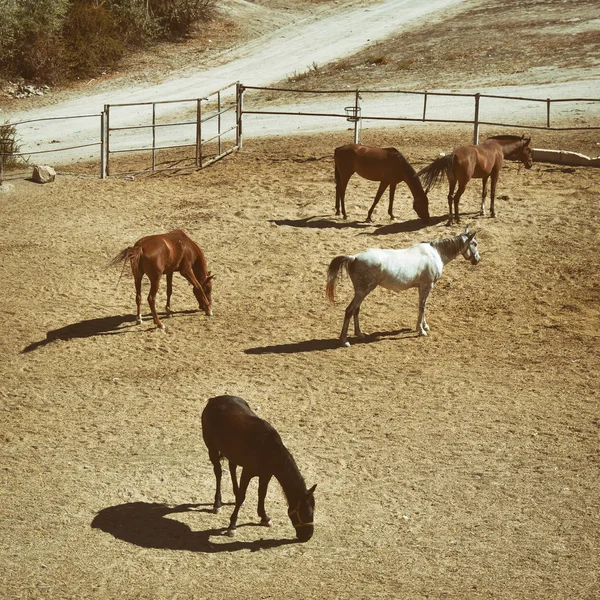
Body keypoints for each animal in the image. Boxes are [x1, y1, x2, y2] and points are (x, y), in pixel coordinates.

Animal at [202, 396, 316, 540]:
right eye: (305, 512)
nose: (308, 536)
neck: (269, 449)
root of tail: (214, 400)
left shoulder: (266, 475)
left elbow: (262, 493)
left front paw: (264, 518)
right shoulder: (247, 472)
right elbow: (242, 496)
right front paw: (232, 526)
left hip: (232, 453)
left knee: (232, 467)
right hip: (212, 448)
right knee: (218, 472)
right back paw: (217, 504)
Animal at [326, 225, 480, 346]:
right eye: (475, 243)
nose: (477, 260)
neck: (435, 254)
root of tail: (354, 258)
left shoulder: (422, 288)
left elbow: (423, 306)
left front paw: (424, 326)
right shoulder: (427, 286)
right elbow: (422, 306)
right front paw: (421, 330)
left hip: (361, 292)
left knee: (356, 310)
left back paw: (360, 334)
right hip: (362, 292)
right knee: (349, 310)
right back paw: (345, 340)